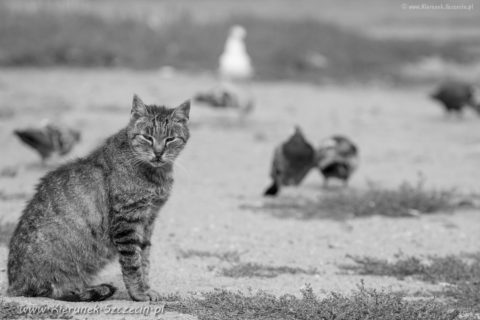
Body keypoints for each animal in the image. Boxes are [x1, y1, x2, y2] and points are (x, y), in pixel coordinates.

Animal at [7, 95, 189, 302]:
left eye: (170, 139)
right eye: (147, 137)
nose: (158, 153)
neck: (156, 175)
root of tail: (14, 285)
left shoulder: (148, 221)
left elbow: (144, 260)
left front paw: (147, 288)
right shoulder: (127, 222)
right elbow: (133, 264)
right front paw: (139, 293)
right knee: (54, 292)